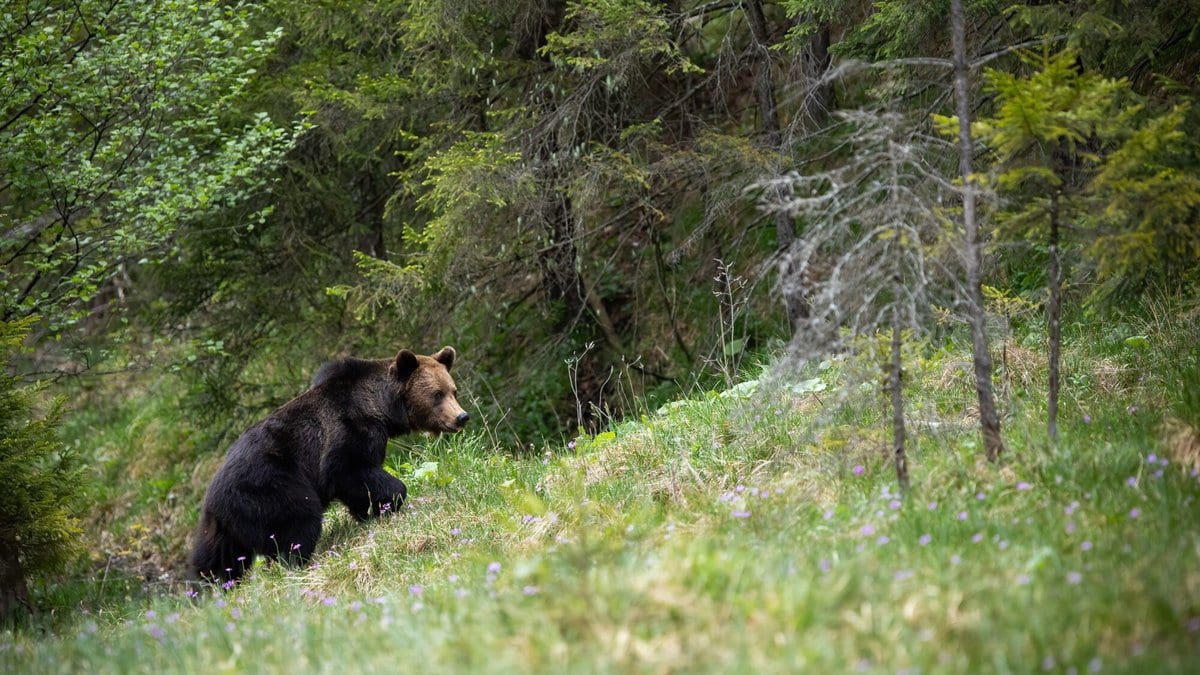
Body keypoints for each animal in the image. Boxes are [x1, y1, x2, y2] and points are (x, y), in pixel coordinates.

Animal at [190, 346, 468, 583]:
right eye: (437, 394)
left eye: (453, 390)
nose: (461, 417)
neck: (380, 406)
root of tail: (215, 498)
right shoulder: (347, 431)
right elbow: (354, 471)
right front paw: (388, 503)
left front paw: (369, 512)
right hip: (270, 488)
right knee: (299, 522)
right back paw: (295, 563)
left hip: (219, 528)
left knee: (215, 560)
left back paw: (214, 586)